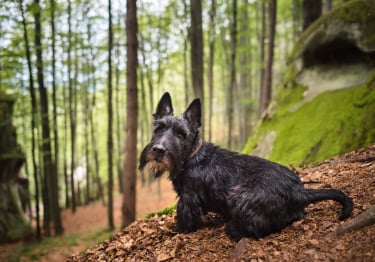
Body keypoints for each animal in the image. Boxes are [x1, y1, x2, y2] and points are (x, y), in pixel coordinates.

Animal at [140, 91, 354, 239]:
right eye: (158, 128)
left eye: (181, 134)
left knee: (259, 228)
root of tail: (299, 191)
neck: (191, 156)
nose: (158, 150)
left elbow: (184, 218)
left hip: (240, 195)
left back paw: (233, 228)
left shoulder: (188, 199)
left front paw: (177, 230)